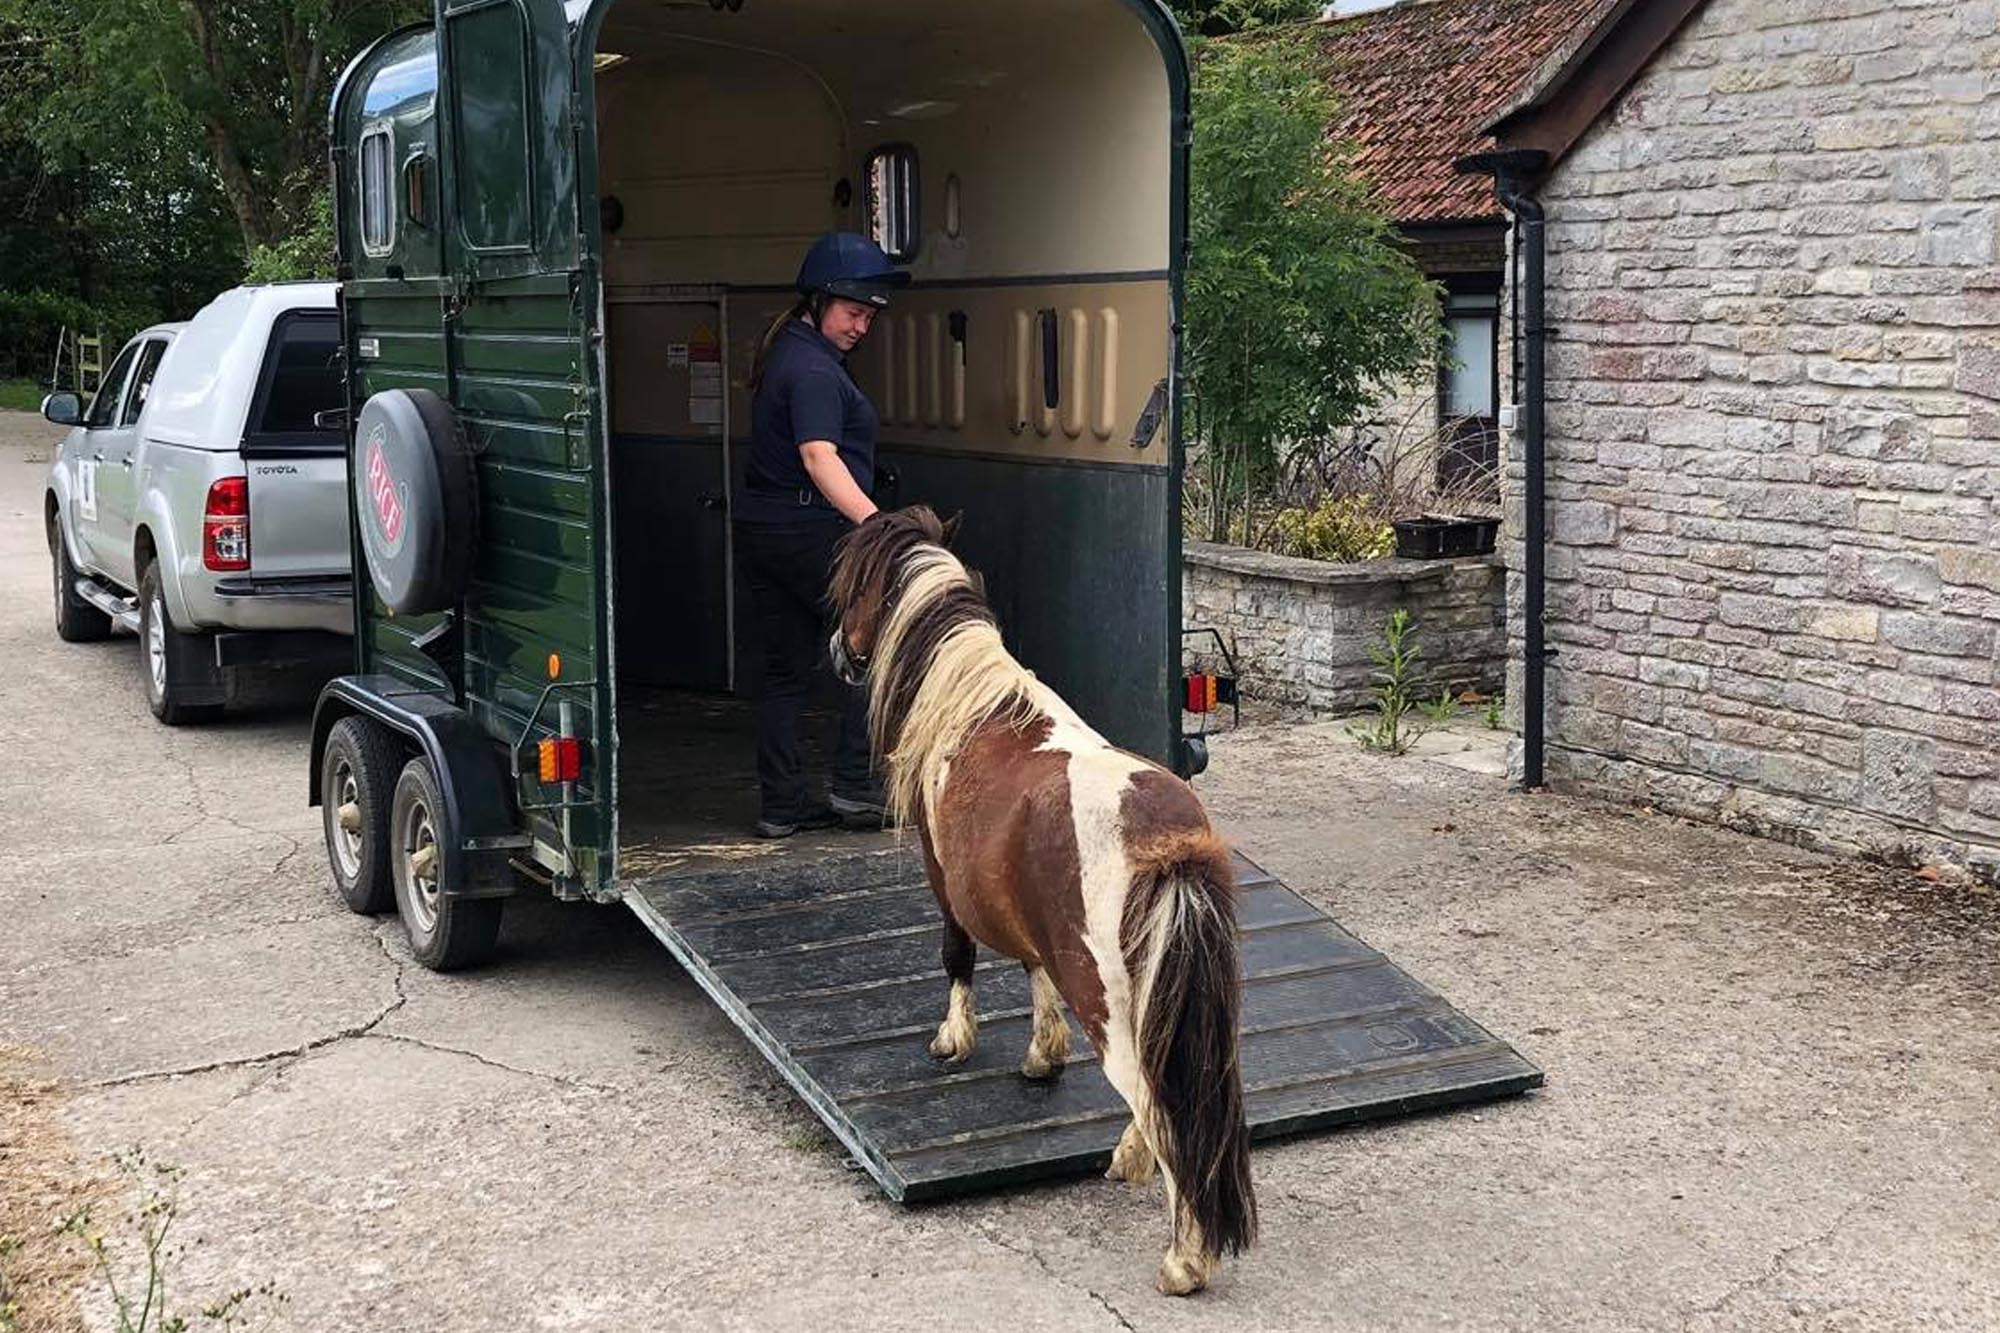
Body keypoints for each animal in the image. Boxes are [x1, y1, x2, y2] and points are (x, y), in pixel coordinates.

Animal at [824, 506, 1248, 1288]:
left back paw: (1183, 1261)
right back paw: (1134, 1164)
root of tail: (1164, 841)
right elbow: (1031, 965)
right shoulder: (1021, 908)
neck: (976, 707)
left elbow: (956, 954)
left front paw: (953, 1039)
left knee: (1157, 1101)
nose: (839, 648)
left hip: (1110, 1003)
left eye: (855, 590)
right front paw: (1043, 1055)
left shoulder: (944, 878)